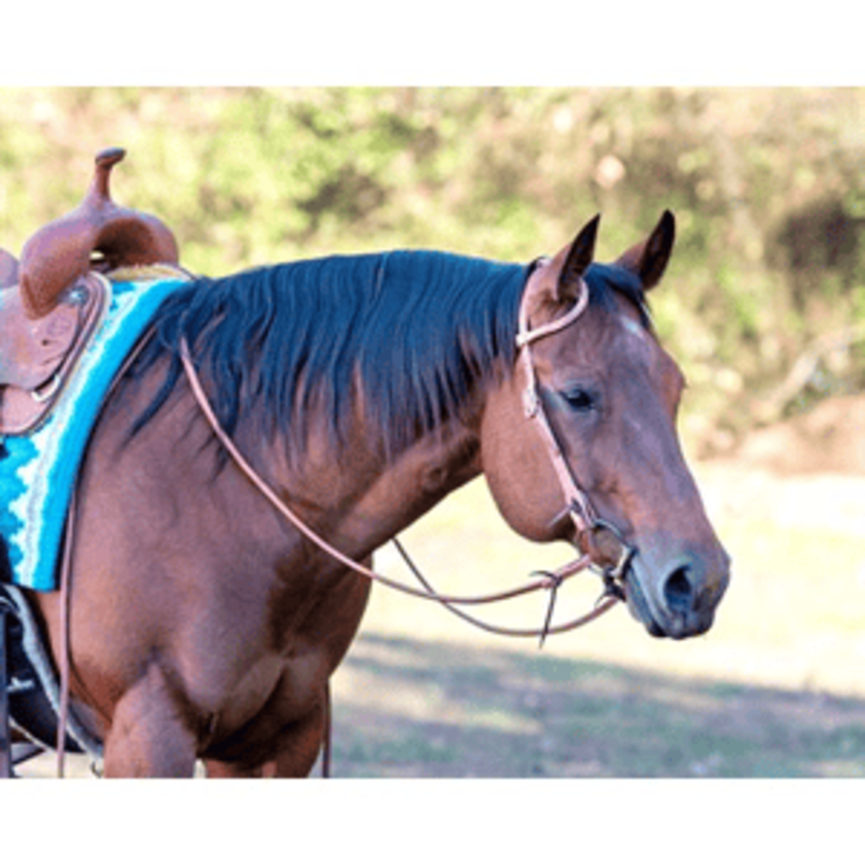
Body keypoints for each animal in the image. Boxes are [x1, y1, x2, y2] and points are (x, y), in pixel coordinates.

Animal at [20, 208, 724, 776]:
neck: (217, 489)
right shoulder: (147, 738)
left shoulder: (279, 740)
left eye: (676, 387)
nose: (699, 579)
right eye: (577, 395)